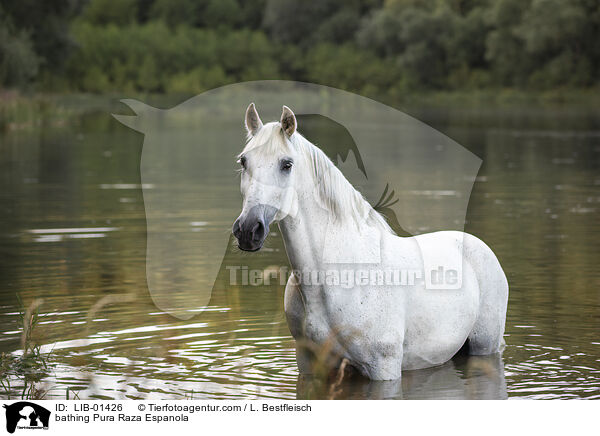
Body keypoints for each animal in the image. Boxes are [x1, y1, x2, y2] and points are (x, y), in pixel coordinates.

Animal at [232, 104, 508, 380]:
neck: (333, 278)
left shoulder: (383, 367)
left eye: (287, 164)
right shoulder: (309, 363)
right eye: (244, 161)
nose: (248, 230)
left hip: (485, 345)